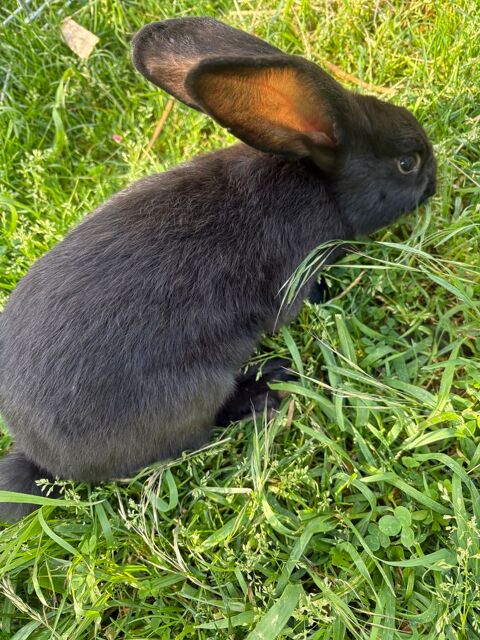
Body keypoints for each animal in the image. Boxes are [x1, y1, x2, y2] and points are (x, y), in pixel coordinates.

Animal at [0, 17, 436, 521]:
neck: (320, 184)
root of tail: (44, 460)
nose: (435, 179)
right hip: (196, 391)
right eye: (407, 163)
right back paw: (267, 385)